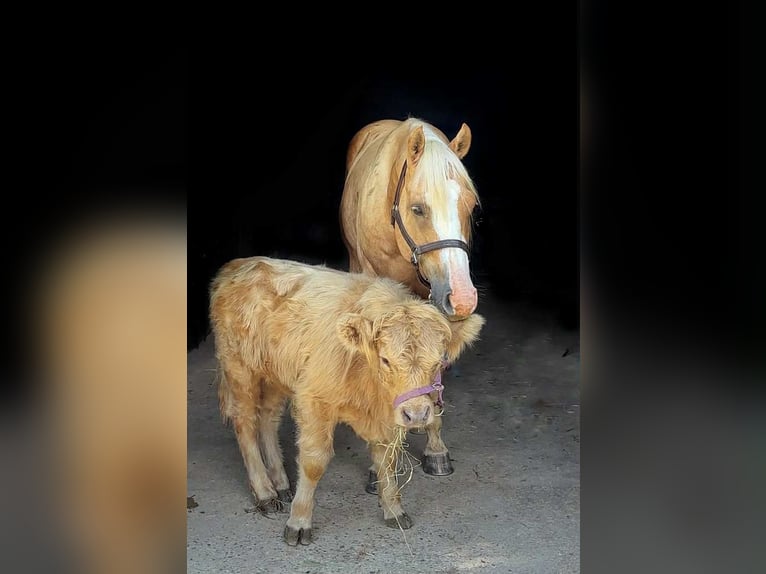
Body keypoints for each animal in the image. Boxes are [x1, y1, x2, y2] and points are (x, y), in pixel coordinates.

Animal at [339, 117, 481, 481]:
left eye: (470, 207)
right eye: (418, 208)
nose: (463, 299)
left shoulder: (435, 300)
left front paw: (435, 448)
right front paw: (381, 463)